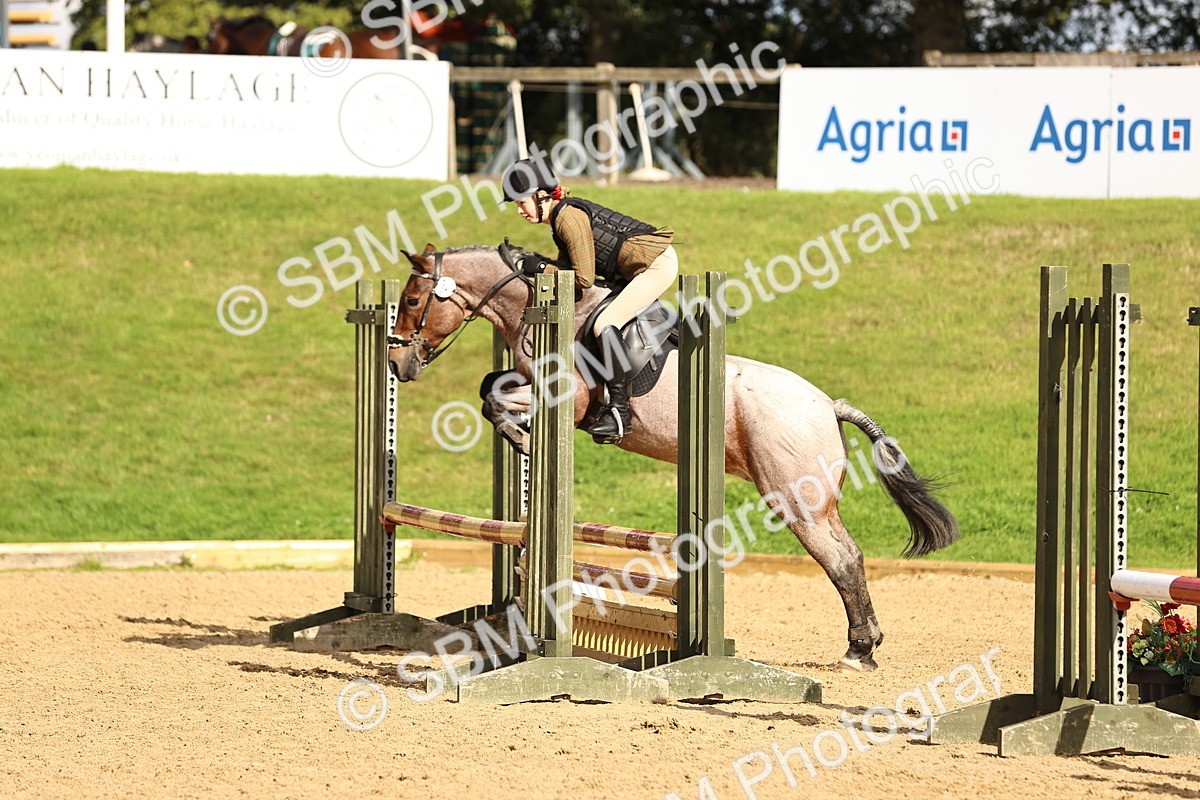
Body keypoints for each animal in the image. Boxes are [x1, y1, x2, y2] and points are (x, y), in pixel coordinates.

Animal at [387, 244, 961, 671]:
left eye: (413, 299)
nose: (397, 363)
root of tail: (827, 405)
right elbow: (490, 388)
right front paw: (521, 437)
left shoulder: (569, 400)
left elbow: (495, 400)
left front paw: (524, 439)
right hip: (819, 502)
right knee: (852, 556)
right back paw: (866, 644)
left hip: (794, 500)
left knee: (838, 560)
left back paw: (858, 650)